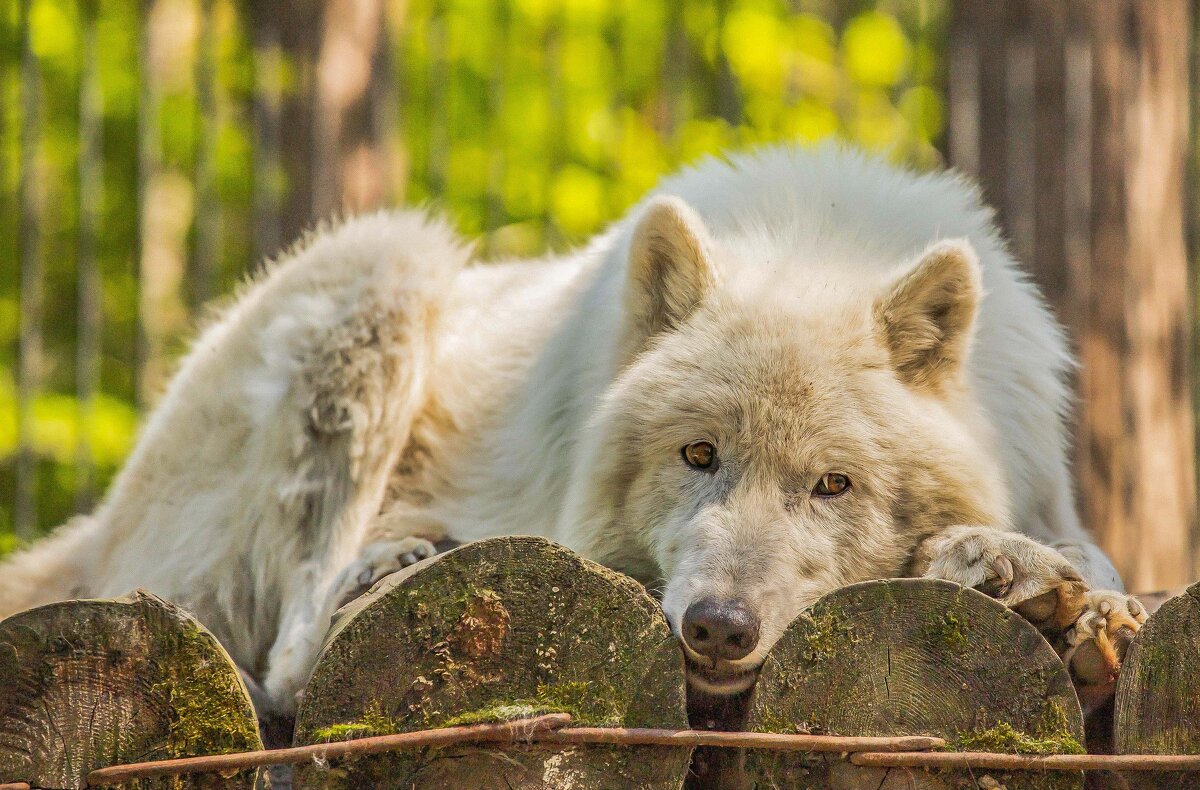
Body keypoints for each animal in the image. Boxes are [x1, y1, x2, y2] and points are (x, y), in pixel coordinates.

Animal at [0, 144, 1143, 715]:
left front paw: (1051, 595)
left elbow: (1093, 562)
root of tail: (102, 524)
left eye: (834, 485)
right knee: (288, 654)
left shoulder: (1050, 488)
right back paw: (396, 559)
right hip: (388, 260)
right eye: (697, 455)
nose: (717, 627)